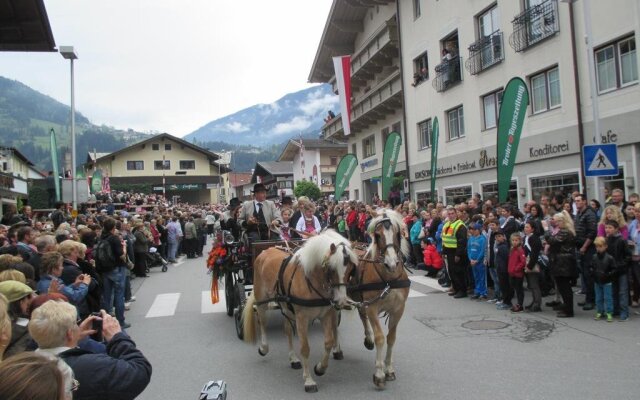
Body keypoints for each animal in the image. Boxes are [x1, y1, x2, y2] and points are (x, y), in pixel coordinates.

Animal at [242, 230, 360, 392]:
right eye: (331, 269)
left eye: (350, 270)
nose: (341, 300)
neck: (312, 279)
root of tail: (266, 251)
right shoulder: (302, 318)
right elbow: (305, 348)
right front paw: (309, 380)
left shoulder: (326, 315)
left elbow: (328, 342)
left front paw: (320, 368)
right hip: (262, 301)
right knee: (263, 323)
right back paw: (264, 347)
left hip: (286, 306)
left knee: (287, 330)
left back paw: (293, 359)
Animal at [350, 211, 410, 390]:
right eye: (377, 235)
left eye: (398, 234)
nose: (391, 263)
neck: (389, 279)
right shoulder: (373, 307)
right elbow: (380, 338)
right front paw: (379, 374)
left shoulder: (398, 309)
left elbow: (391, 337)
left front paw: (388, 369)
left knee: (361, 314)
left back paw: (368, 339)